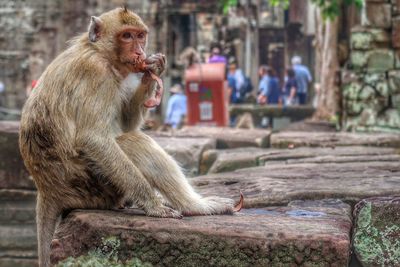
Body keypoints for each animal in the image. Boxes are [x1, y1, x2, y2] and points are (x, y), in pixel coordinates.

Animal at [18, 7, 244, 266]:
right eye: (126, 36)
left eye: (140, 36)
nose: (139, 52)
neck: (100, 52)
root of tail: (47, 189)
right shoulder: (96, 73)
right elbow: (94, 138)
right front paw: (153, 205)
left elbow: (127, 123)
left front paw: (153, 70)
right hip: (91, 185)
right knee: (132, 143)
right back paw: (193, 206)